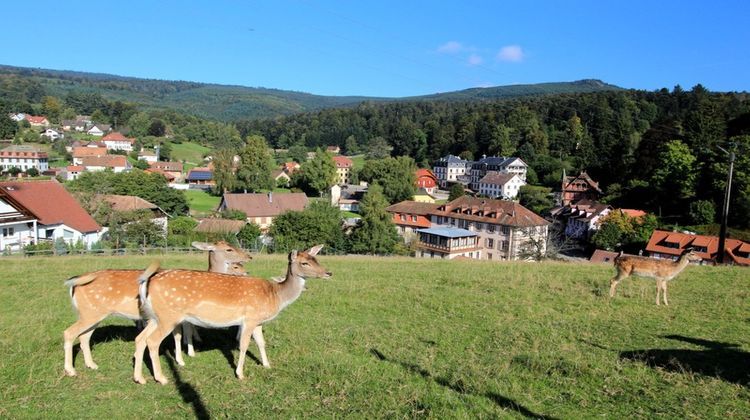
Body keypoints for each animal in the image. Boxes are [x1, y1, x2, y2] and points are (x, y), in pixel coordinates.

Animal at [63, 241, 251, 376]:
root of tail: (74, 282)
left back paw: (92, 365)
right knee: (69, 333)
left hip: (92, 314)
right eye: (229, 249)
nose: (248, 257)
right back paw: (71, 370)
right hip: (91, 313)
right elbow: (182, 333)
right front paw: (187, 356)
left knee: (84, 336)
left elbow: (179, 334)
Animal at [134, 244, 332, 386]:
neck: (275, 295)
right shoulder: (249, 319)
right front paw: (240, 374)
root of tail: (146, 284)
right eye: (305, 263)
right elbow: (243, 345)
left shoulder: (258, 321)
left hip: (155, 317)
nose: (328, 272)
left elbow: (261, 343)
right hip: (168, 316)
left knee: (140, 338)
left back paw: (140, 378)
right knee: (152, 341)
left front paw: (267, 365)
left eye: (316, 258)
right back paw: (161, 378)